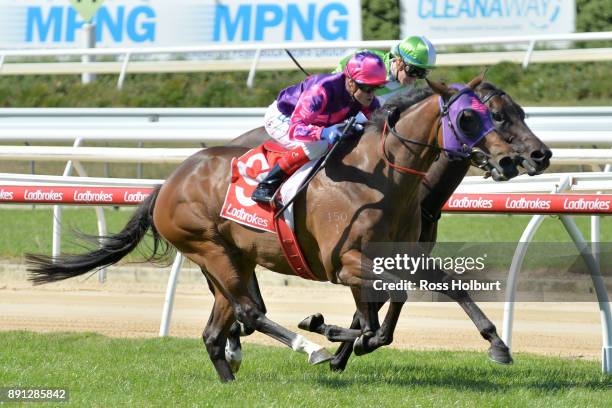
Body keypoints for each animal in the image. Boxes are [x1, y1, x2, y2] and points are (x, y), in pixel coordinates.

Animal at [27, 76, 516, 382]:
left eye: (503, 115)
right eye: (472, 117)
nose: (513, 159)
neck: (383, 178)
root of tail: (167, 182)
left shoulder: (405, 255)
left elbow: (440, 290)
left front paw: (498, 345)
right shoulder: (347, 263)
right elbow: (380, 308)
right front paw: (329, 332)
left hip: (232, 258)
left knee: (218, 328)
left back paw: (233, 373)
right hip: (209, 247)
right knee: (248, 311)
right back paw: (307, 345)